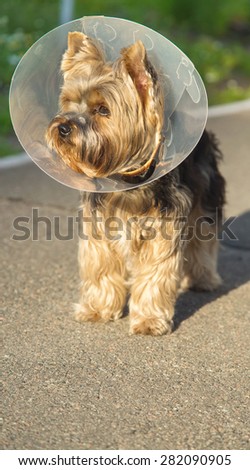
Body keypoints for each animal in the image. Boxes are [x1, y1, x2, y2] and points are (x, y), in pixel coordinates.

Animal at [46, 31, 226, 336]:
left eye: (102, 109)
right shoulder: (100, 225)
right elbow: (102, 267)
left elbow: (155, 272)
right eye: (70, 102)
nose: (63, 127)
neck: (126, 179)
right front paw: (98, 309)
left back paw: (203, 279)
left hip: (206, 192)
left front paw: (150, 320)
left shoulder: (163, 226)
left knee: (204, 237)